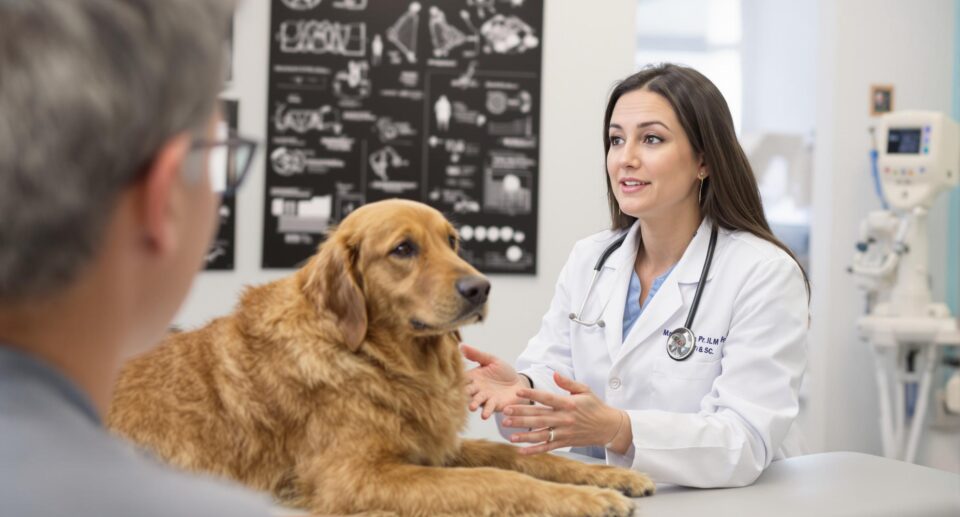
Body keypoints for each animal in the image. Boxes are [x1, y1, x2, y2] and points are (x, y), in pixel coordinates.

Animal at [109, 199, 656, 516]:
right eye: (403, 249)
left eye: (452, 240)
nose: (481, 288)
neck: (378, 357)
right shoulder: (357, 476)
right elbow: (497, 478)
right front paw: (586, 499)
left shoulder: (431, 446)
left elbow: (514, 456)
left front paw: (610, 475)